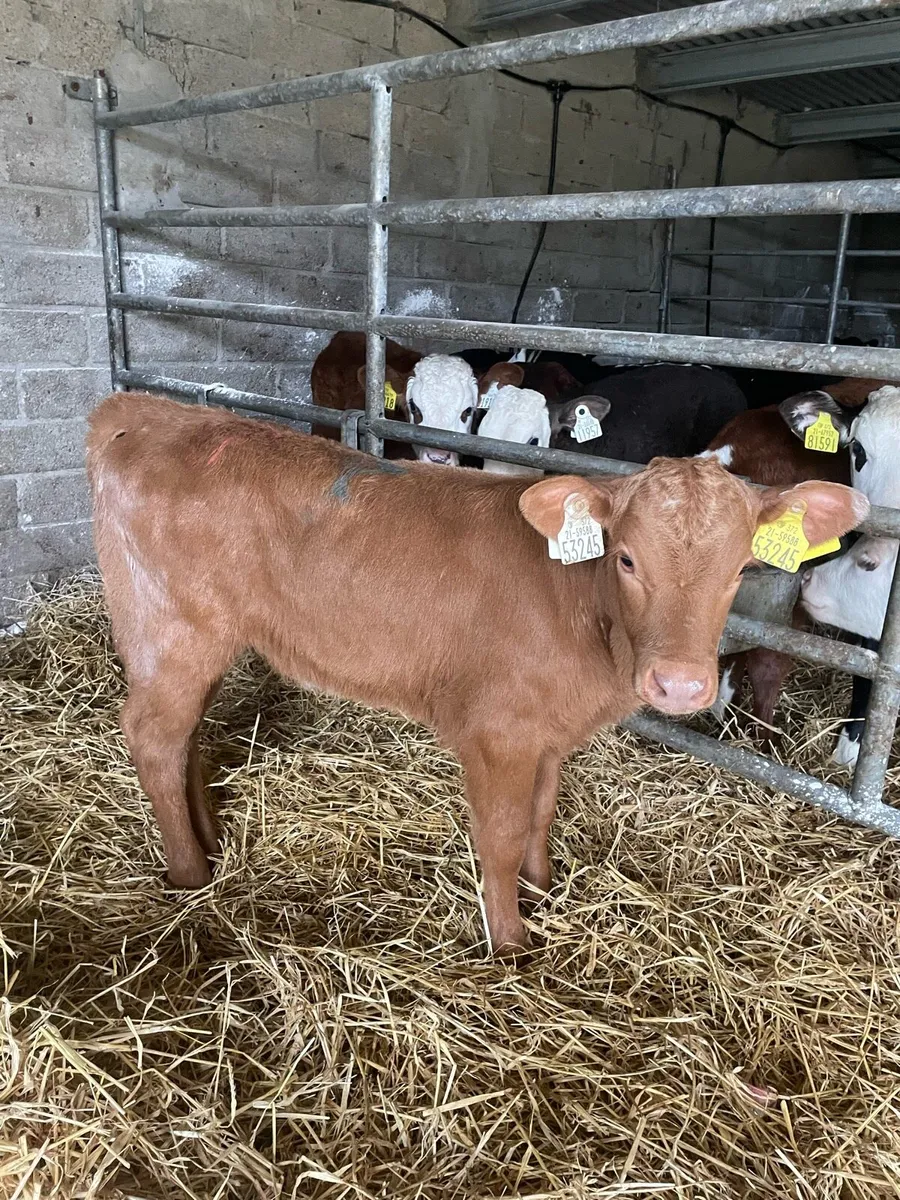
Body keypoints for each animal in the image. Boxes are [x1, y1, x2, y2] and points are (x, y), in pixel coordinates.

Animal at [86, 391, 866, 953]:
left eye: (740, 570)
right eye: (626, 557)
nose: (679, 685)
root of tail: (146, 411)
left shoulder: (549, 732)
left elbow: (542, 813)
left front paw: (543, 887)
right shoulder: (499, 732)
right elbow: (498, 831)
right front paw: (512, 941)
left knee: (185, 734)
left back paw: (209, 838)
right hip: (172, 631)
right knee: (153, 737)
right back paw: (191, 875)